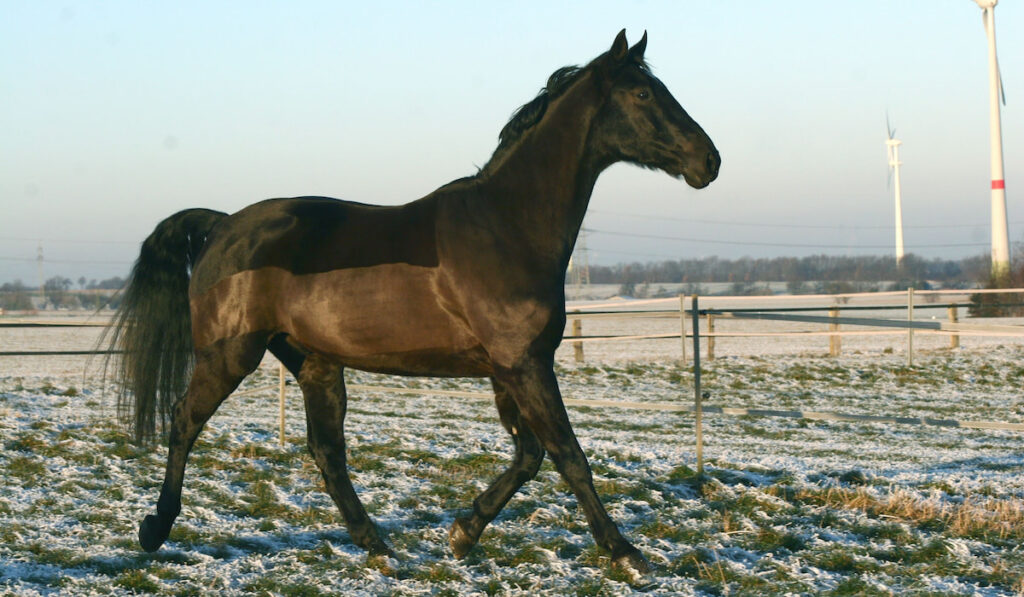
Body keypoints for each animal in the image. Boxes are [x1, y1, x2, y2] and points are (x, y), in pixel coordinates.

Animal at [108, 31, 720, 573]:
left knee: (327, 453)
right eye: (642, 94)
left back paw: (379, 546)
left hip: (316, 363)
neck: (506, 226)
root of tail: (221, 226)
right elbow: (569, 456)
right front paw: (626, 555)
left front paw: (463, 533)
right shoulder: (526, 365)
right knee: (184, 421)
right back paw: (155, 529)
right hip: (230, 354)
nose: (708, 161)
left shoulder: (508, 368)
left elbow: (528, 455)